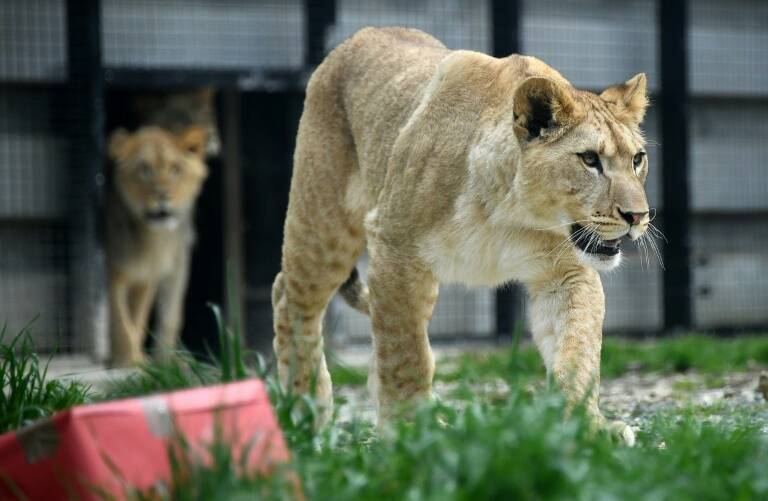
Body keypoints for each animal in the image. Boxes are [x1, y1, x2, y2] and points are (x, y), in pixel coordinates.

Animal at [272, 27, 652, 444]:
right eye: (589, 159)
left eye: (637, 159)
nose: (638, 216)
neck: (511, 213)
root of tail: (360, 35)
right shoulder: (394, 247)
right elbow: (406, 352)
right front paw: (410, 429)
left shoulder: (566, 272)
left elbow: (577, 348)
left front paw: (588, 426)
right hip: (325, 227)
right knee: (290, 298)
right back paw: (305, 410)